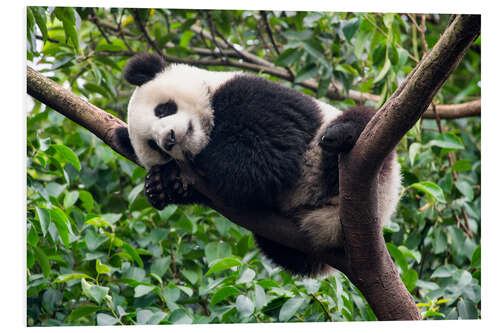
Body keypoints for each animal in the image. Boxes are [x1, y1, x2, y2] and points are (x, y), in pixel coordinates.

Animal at [115, 53, 400, 276]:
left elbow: (263, 160)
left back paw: (341, 135)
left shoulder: (255, 96)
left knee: (362, 122)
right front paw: (161, 184)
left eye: (163, 109)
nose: (169, 139)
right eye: (153, 145)